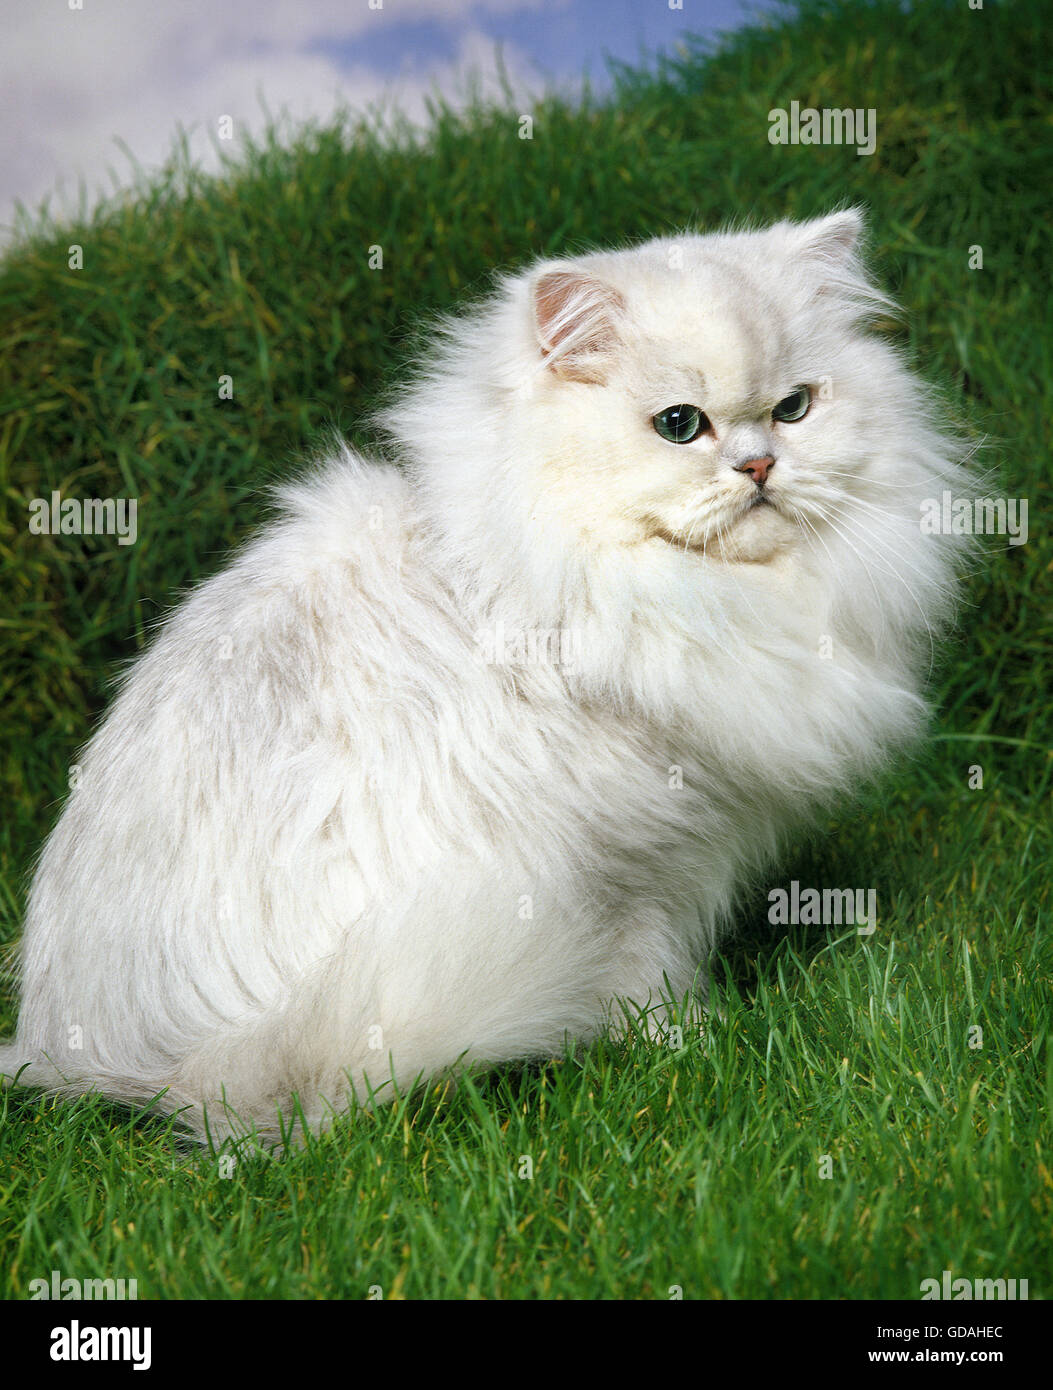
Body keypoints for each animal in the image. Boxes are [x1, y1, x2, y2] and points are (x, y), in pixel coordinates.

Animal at [0, 208, 972, 1139]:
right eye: (679, 425)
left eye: (794, 408)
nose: (760, 465)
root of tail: (130, 1068)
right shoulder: (637, 871)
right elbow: (649, 985)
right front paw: (694, 1045)